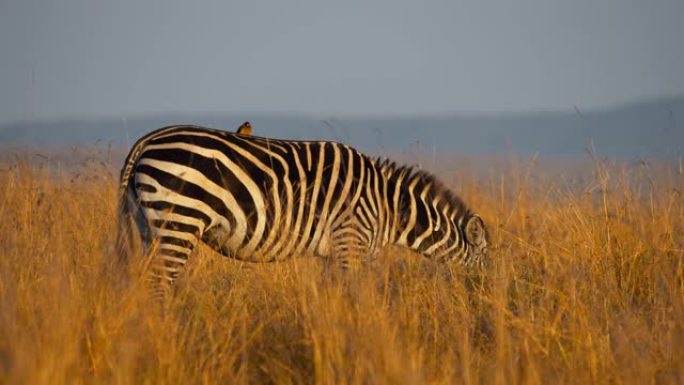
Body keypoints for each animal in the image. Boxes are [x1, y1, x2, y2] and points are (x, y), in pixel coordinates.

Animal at [116, 124, 486, 298]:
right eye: (486, 262)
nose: (487, 299)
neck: (387, 205)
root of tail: (148, 140)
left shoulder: (334, 252)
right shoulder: (351, 242)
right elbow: (356, 298)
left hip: (148, 224)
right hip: (179, 219)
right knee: (159, 285)